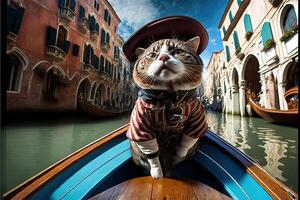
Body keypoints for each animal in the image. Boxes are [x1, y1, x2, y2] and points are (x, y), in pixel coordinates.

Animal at [125, 36, 207, 179]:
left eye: (178, 51)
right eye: (153, 55)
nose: (163, 57)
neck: (169, 96)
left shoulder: (197, 119)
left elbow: (186, 142)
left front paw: (179, 154)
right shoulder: (140, 125)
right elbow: (152, 154)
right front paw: (157, 172)